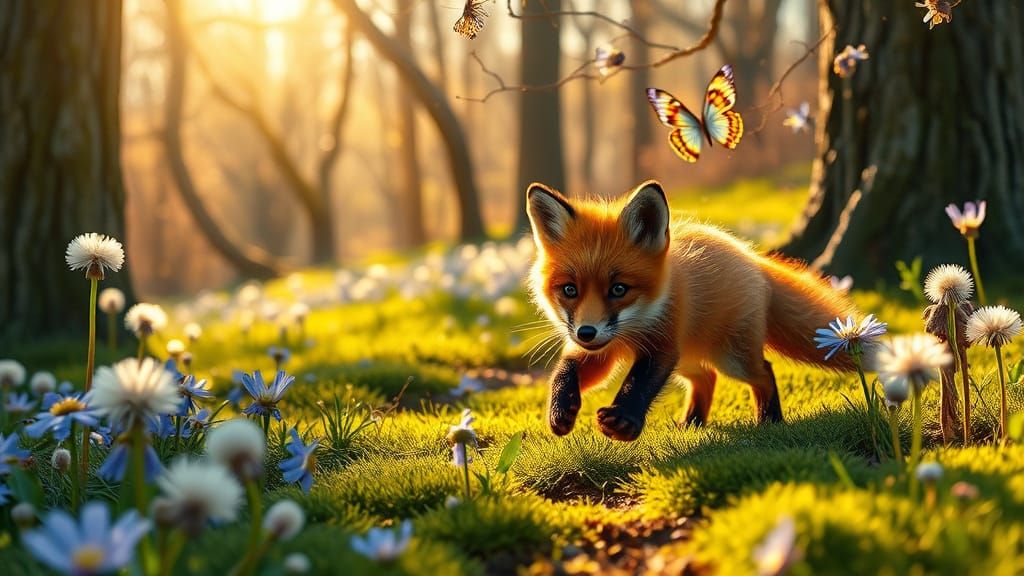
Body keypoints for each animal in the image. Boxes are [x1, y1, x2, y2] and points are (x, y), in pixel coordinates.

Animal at [525, 179, 856, 441]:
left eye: (619, 289)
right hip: (688, 357)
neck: (631, 332)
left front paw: (624, 422)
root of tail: (749, 255)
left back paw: (769, 420)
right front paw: (560, 409)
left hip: (730, 358)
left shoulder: (661, 345)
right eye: (570, 290)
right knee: (707, 378)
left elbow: (639, 382)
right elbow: (566, 369)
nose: (586, 332)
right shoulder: (601, 348)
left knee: (763, 371)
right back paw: (692, 423)